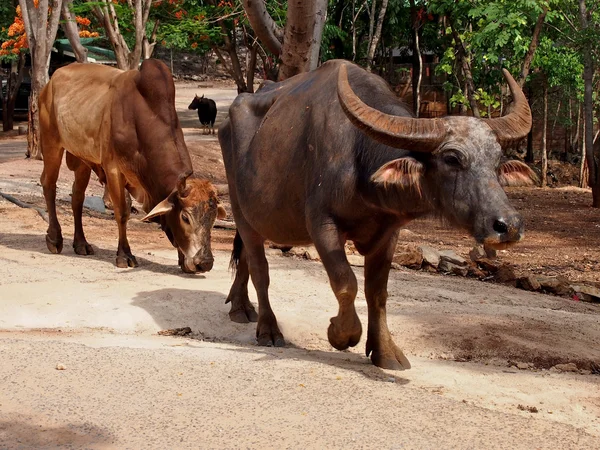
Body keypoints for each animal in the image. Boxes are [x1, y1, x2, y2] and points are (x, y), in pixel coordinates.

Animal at [39, 60, 227, 274]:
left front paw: (181, 259)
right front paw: (125, 255)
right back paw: (55, 238)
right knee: (49, 185)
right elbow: (122, 212)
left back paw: (81, 244)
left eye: (214, 218)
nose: (205, 263)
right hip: (51, 143)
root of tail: (51, 81)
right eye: (185, 218)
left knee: (77, 197)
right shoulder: (112, 168)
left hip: (82, 159)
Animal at [219, 59, 536, 370]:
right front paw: (342, 334)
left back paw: (240, 307)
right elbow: (346, 282)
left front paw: (385, 351)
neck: (361, 163)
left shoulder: (388, 233)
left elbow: (378, 292)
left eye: (496, 160)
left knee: (246, 255)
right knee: (260, 269)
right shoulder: (322, 224)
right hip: (240, 208)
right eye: (452, 158)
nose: (507, 226)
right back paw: (268, 329)